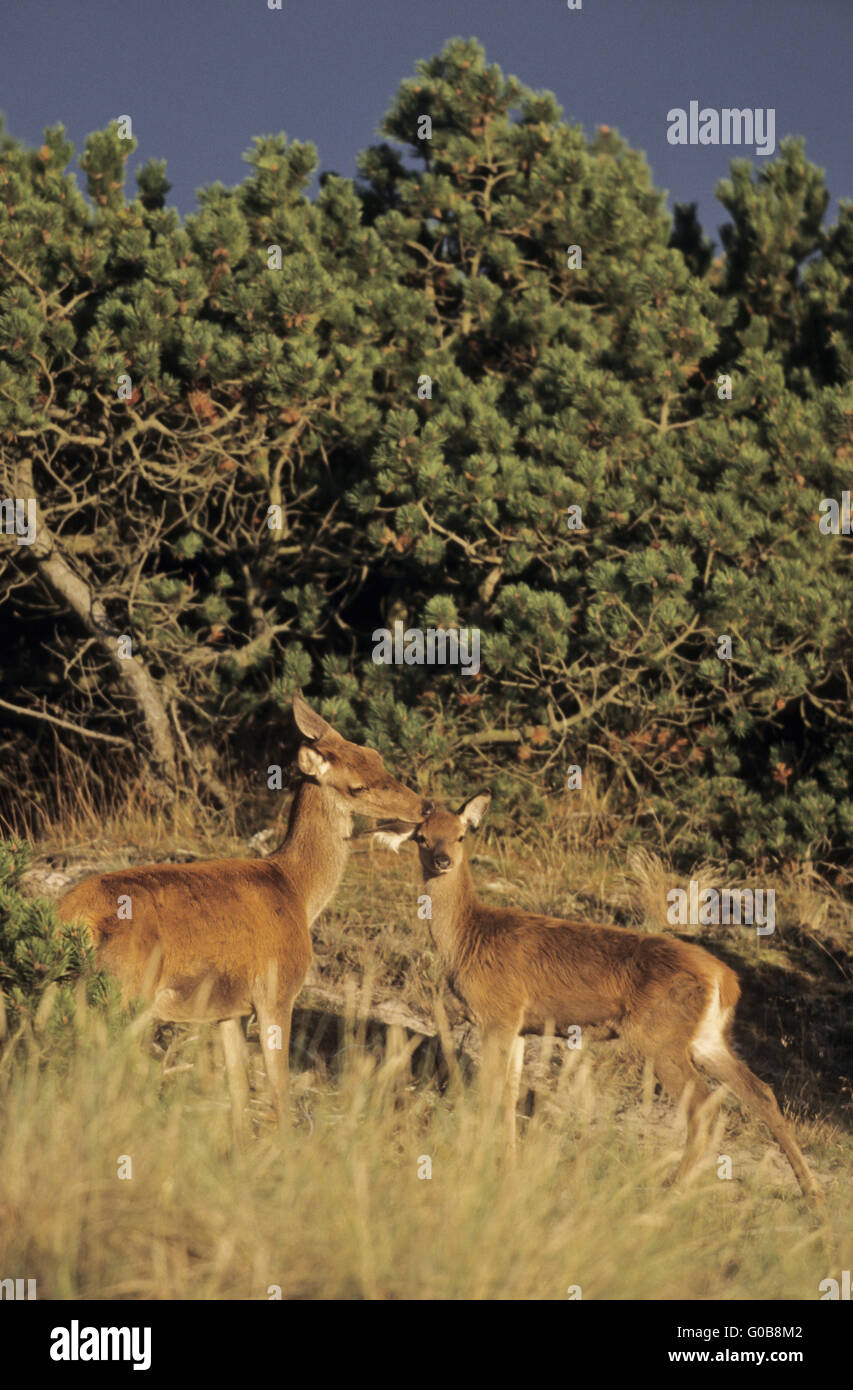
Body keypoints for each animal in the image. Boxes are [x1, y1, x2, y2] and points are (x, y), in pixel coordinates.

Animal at [377, 795, 827, 1206]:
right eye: (421, 837)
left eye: (460, 835)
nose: (442, 860)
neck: (470, 938)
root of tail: (725, 979)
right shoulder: (518, 1024)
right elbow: (508, 1094)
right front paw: (507, 1162)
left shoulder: (498, 1013)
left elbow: (490, 1091)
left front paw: (473, 1158)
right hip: (706, 1038)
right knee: (762, 1092)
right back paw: (812, 1192)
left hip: (660, 1036)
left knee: (704, 1105)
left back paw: (671, 1190)